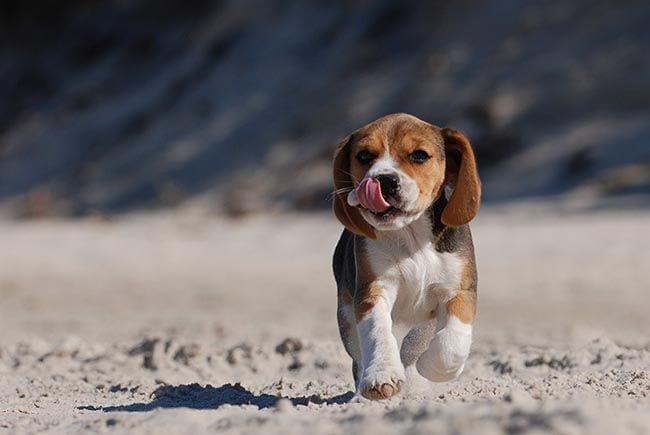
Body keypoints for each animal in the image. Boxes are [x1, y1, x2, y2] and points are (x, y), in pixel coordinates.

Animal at [332, 113, 478, 402]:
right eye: (364, 156)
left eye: (419, 155)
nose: (385, 181)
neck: (411, 235)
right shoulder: (371, 291)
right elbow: (378, 332)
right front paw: (382, 376)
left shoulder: (460, 291)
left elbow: (452, 342)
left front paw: (429, 367)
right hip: (346, 315)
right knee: (360, 357)